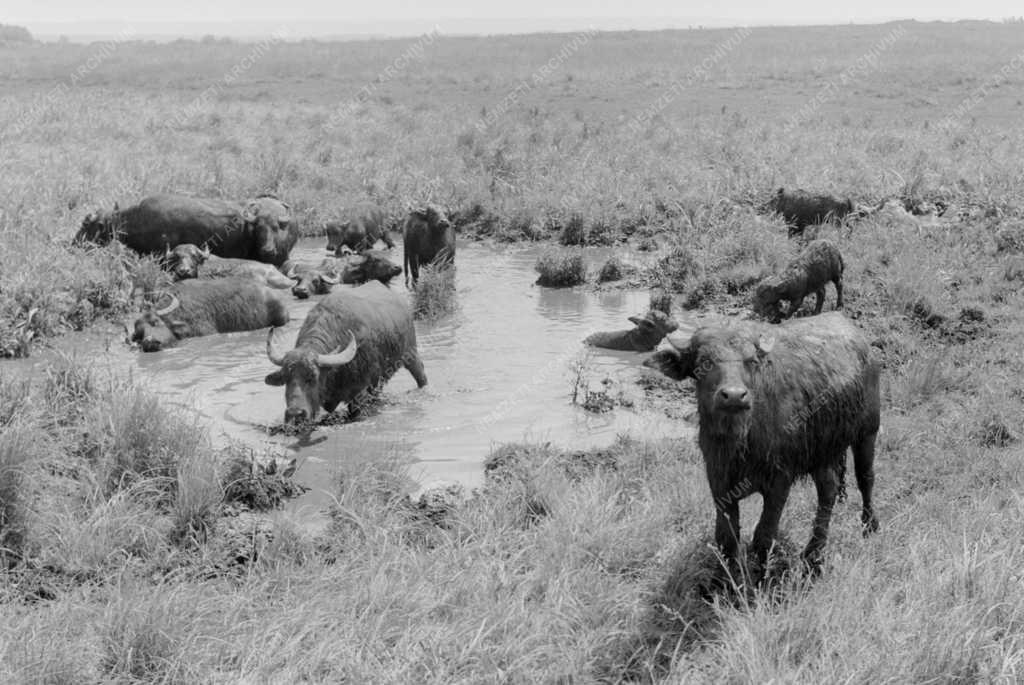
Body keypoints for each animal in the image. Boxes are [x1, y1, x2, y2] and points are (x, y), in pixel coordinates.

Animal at [268, 278, 428, 421]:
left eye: (312, 377)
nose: (295, 413)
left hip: (411, 353)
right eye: (285, 378)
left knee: (420, 374)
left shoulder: (359, 391)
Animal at [647, 313, 880, 569]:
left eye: (750, 361)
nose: (734, 396)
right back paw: (813, 552)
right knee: (829, 489)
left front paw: (760, 573)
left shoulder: (780, 479)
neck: (741, 439)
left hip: (868, 431)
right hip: (825, 449)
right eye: (704, 362)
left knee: (865, 478)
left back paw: (869, 526)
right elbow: (726, 537)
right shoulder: (717, 477)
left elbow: (764, 535)